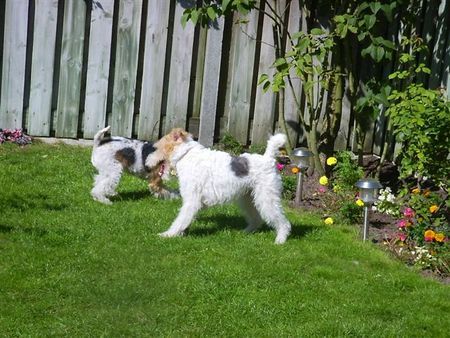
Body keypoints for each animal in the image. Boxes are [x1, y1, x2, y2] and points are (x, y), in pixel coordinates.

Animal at [158, 131, 292, 244]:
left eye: (161, 143)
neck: (186, 155)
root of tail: (268, 159)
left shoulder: (192, 200)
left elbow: (180, 220)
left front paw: (168, 234)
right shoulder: (196, 202)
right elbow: (186, 219)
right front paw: (180, 233)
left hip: (267, 198)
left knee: (283, 222)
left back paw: (280, 240)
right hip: (248, 199)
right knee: (256, 219)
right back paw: (245, 232)